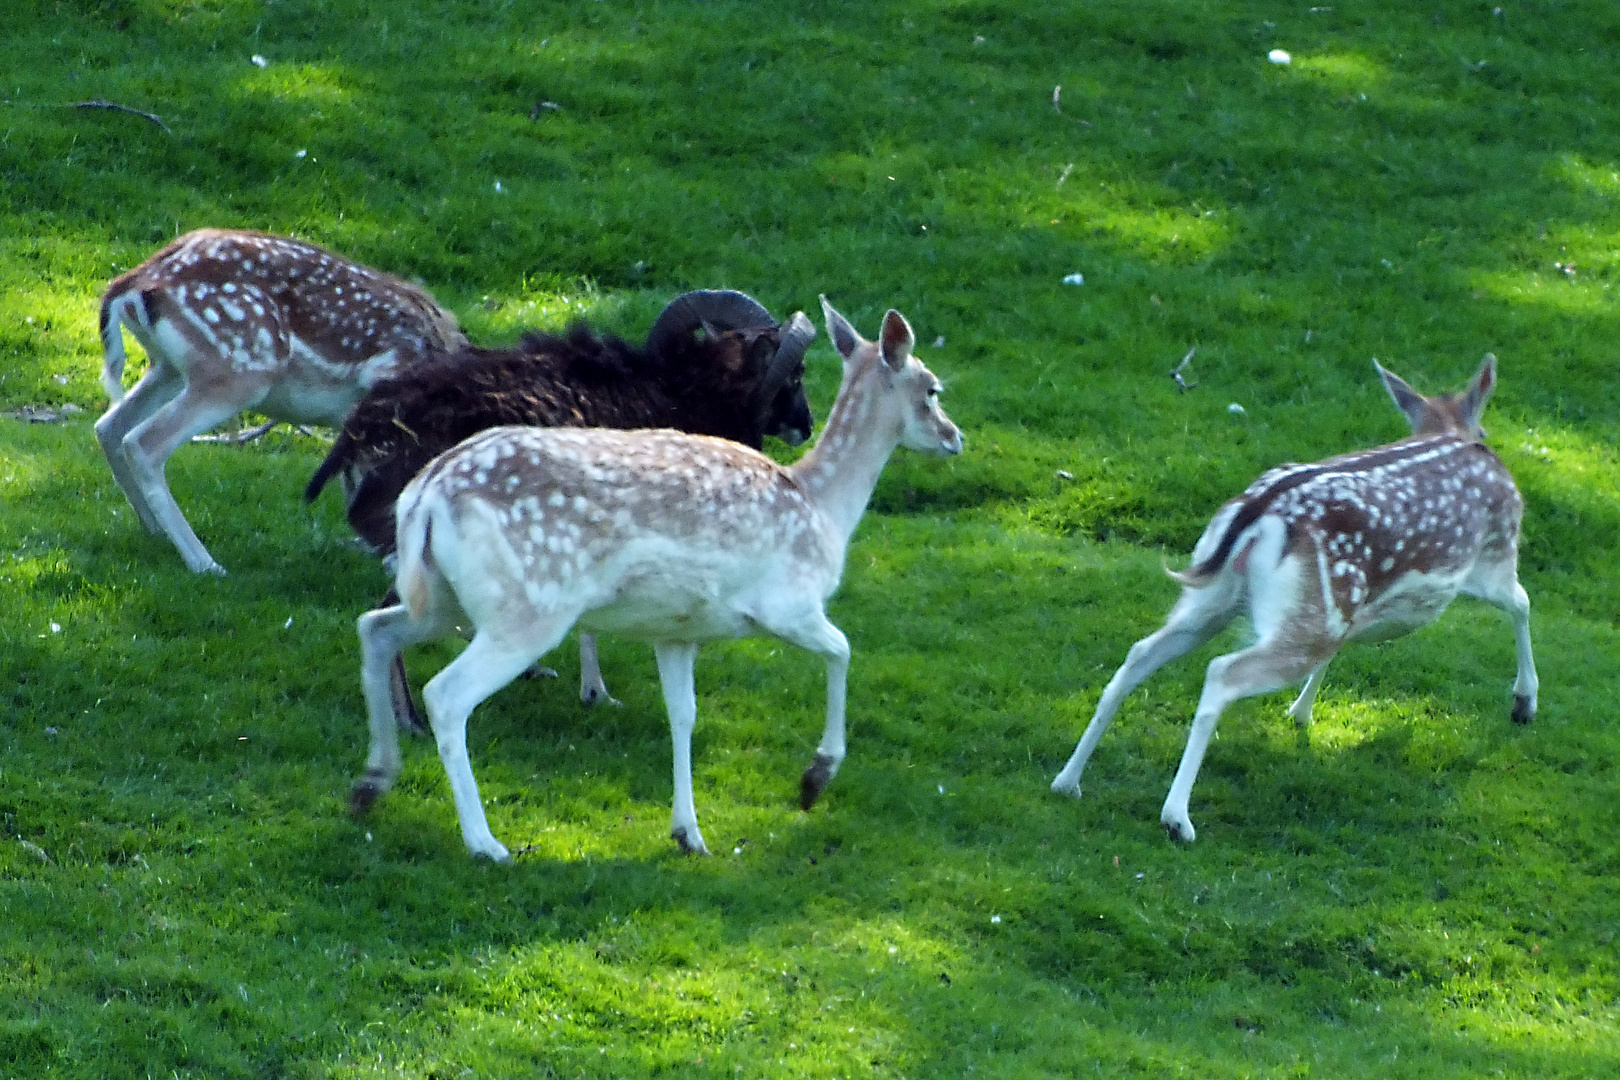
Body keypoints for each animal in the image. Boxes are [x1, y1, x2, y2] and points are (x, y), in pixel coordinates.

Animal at [94, 228, 466, 573]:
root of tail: (133, 283)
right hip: (239, 368)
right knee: (144, 442)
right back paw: (205, 563)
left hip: (169, 368)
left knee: (110, 425)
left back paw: (154, 532)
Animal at [346, 297, 959, 861]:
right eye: (932, 389)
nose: (955, 437)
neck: (824, 509)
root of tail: (424, 497)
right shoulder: (788, 604)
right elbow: (843, 650)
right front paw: (813, 781)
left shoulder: (677, 631)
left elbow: (682, 715)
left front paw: (688, 833)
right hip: (526, 611)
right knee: (446, 693)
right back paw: (483, 842)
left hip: (443, 597)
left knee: (375, 627)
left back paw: (370, 784)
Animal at [1049, 356, 1529, 841]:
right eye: (1486, 428)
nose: (1483, 437)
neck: (1448, 431)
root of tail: (1256, 514)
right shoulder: (1494, 557)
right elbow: (1522, 603)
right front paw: (1524, 703)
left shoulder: (1352, 609)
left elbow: (1338, 651)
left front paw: (1300, 713)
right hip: (1302, 611)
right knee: (1222, 672)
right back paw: (1177, 818)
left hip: (1218, 599)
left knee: (1139, 653)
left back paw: (1068, 781)